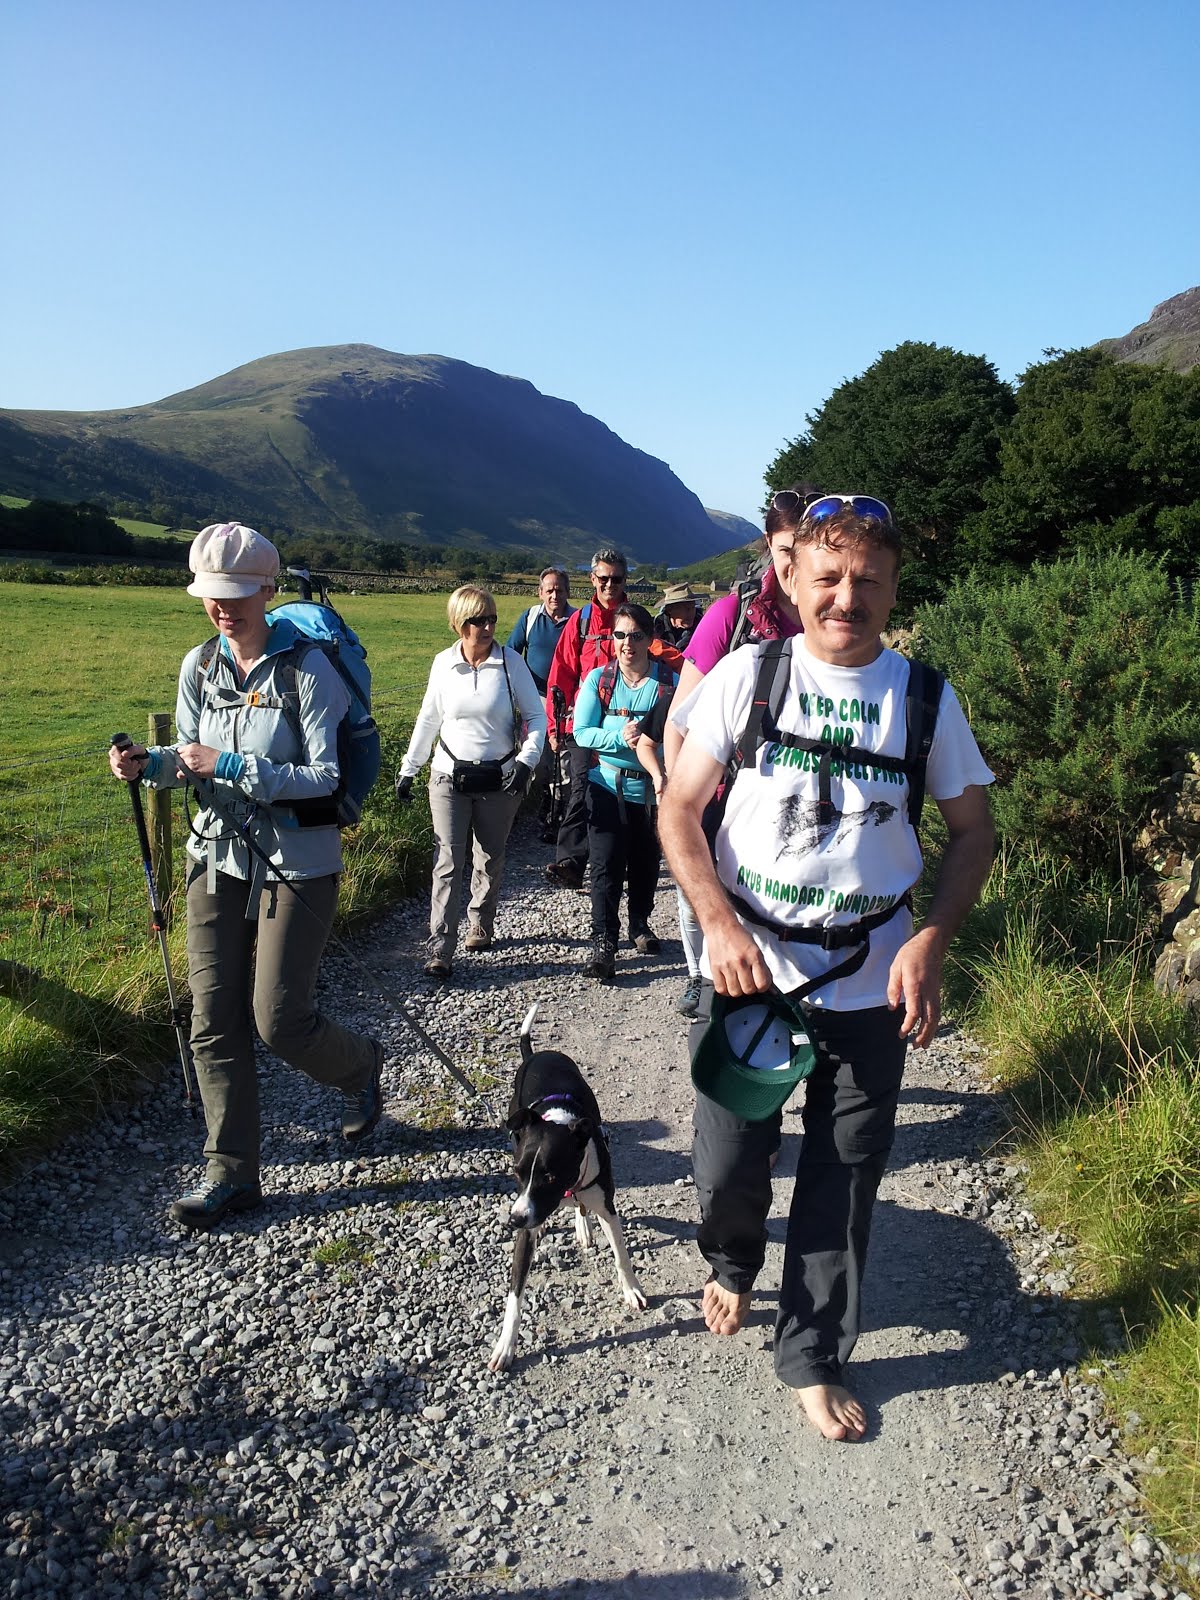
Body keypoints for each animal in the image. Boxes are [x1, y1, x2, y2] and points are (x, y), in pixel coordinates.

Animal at [489, 1004, 649, 1369]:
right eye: (516, 1172)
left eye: (550, 1177)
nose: (514, 1220)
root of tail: (537, 1054)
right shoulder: (526, 1224)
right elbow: (514, 1296)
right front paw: (505, 1345)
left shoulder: (607, 1206)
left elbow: (621, 1255)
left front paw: (631, 1289)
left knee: (582, 1205)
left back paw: (581, 1225)